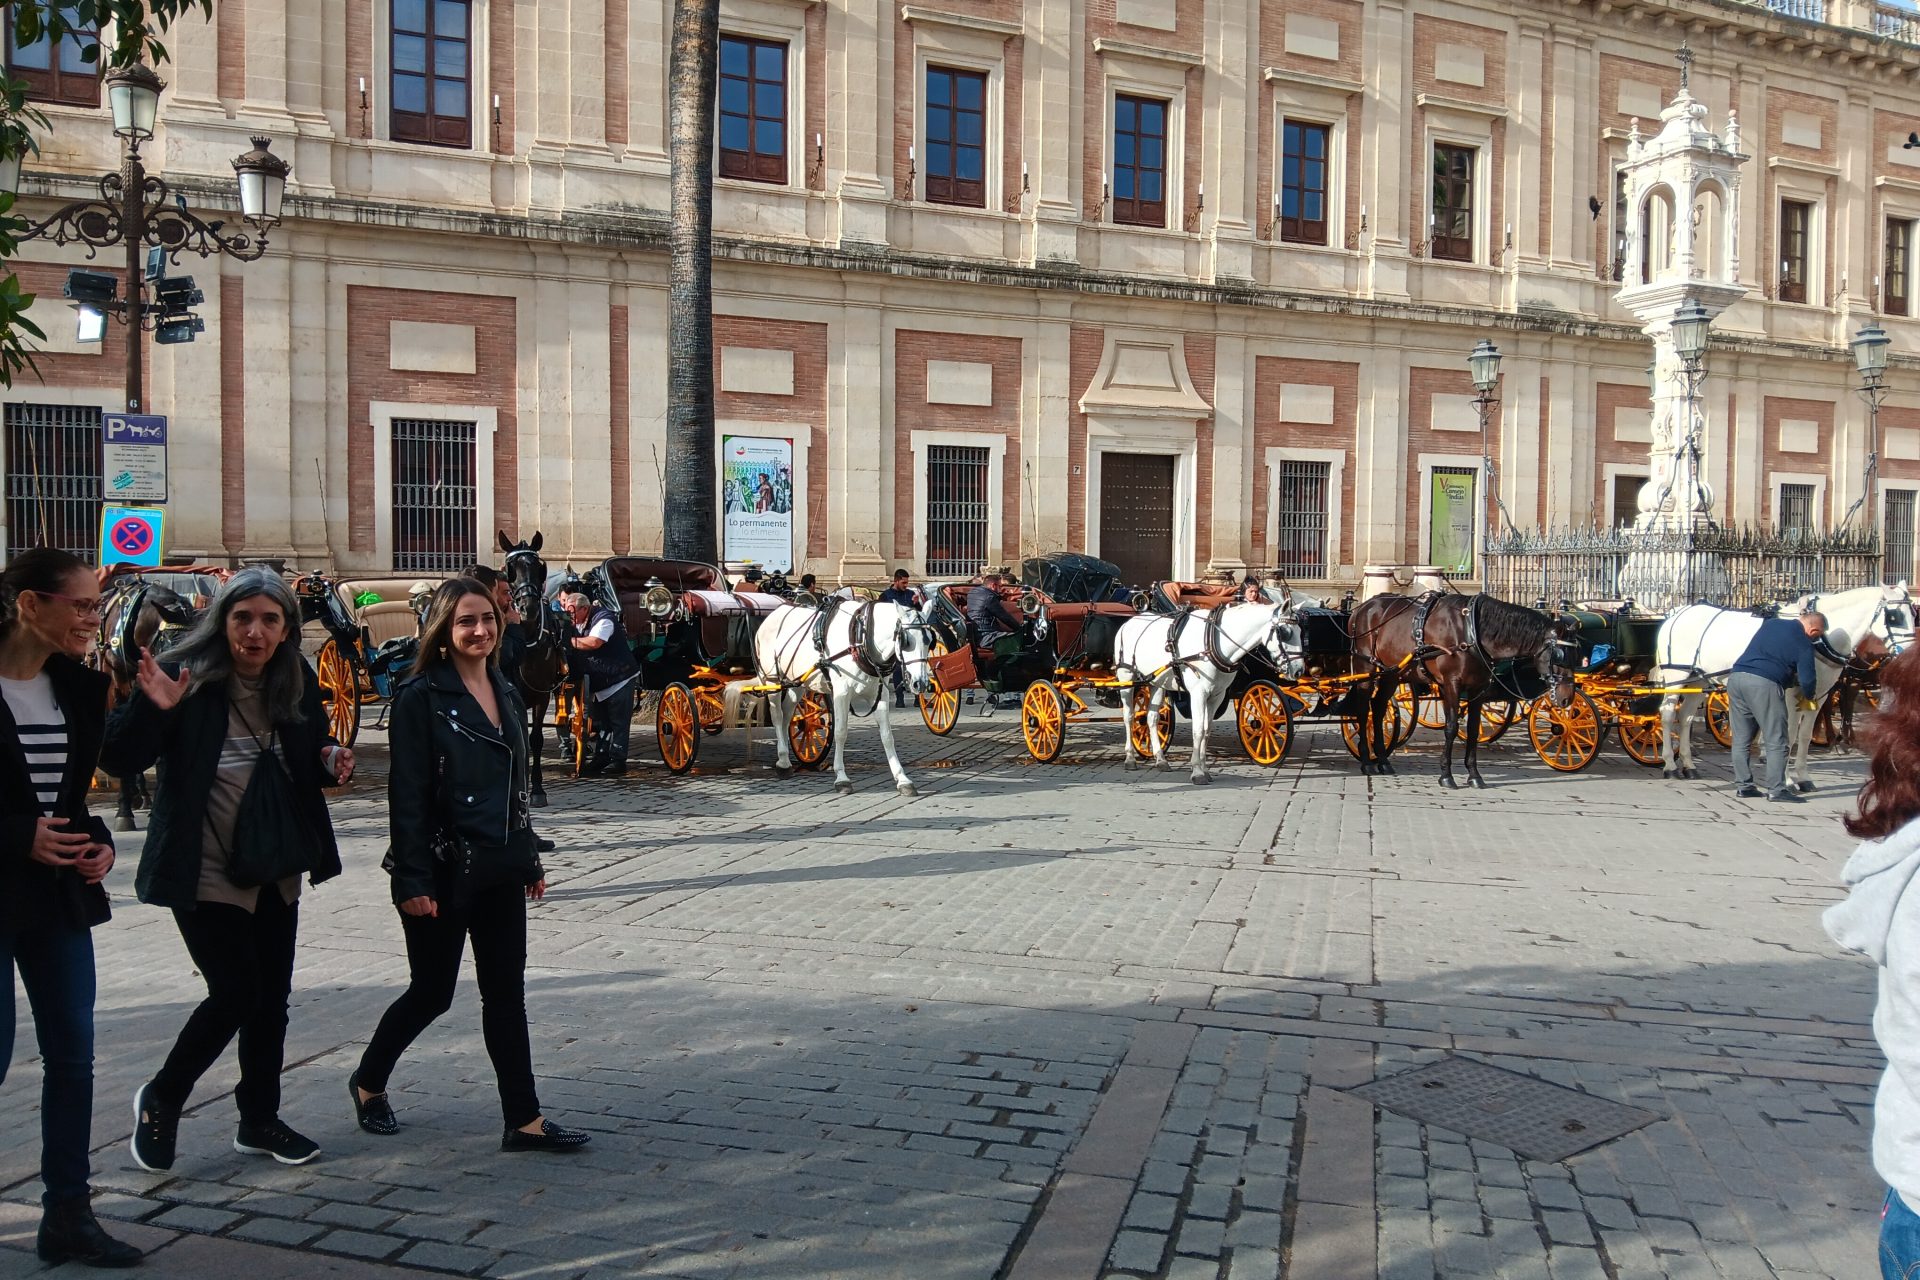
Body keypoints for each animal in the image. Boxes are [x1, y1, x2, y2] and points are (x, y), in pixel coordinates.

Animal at [752, 598, 933, 790]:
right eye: (907, 641)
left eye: (929, 641)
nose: (920, 683)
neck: (861, 639)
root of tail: (775, 613)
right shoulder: (842, 693)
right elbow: (840, 732)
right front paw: (841, 777)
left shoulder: (879, 694)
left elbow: (887, 736)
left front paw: (902, 778)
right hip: (772, 680)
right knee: (778, 716)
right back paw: (783, 761)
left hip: (796, 682)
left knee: (787, 717)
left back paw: (784, 758)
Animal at [1121, 602, 1297, 790]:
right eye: (1285, 632)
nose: (1299, 670)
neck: (1213, 642)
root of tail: (1129, 621)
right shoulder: (1198, 694)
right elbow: (1198, 730)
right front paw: (1197, 772)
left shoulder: (1216, 696)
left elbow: (1206, 730)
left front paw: (1204, 769)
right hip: (1125, 677)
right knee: (1129, 717)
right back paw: (1130, 758)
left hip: (1156, 683)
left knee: (1152, 718)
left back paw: (1161, 760)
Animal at [1351, 594, 1574, 790]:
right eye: (1558, 655)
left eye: (1577, 653)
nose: (1567, 697)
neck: (1471, 632)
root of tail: (1363, 607)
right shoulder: (1451, 684)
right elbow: (1451, 727)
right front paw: (1446, 775)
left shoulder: (1478, 688)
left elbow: (1473, 730)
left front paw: (1474, 775)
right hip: (1367, 668)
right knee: (1362, 710)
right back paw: (1366, 761)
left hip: (1392, 672)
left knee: (1378, 708)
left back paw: (1382, 760)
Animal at [1651, 579, 1904, 782]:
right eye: (1894, 617)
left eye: (1911, 611)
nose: (1906, 654)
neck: (1820, 640)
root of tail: (1678, 611)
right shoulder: (1791, 693)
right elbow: (1788, 734)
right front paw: (1787, 779)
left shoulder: (1819, 693)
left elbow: (1803, 735)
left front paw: (1803, 777)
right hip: (1677, 675)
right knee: (1668, 715)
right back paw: (1670, 764)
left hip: (1699, 679)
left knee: (1685, 718)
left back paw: (1689, 764)